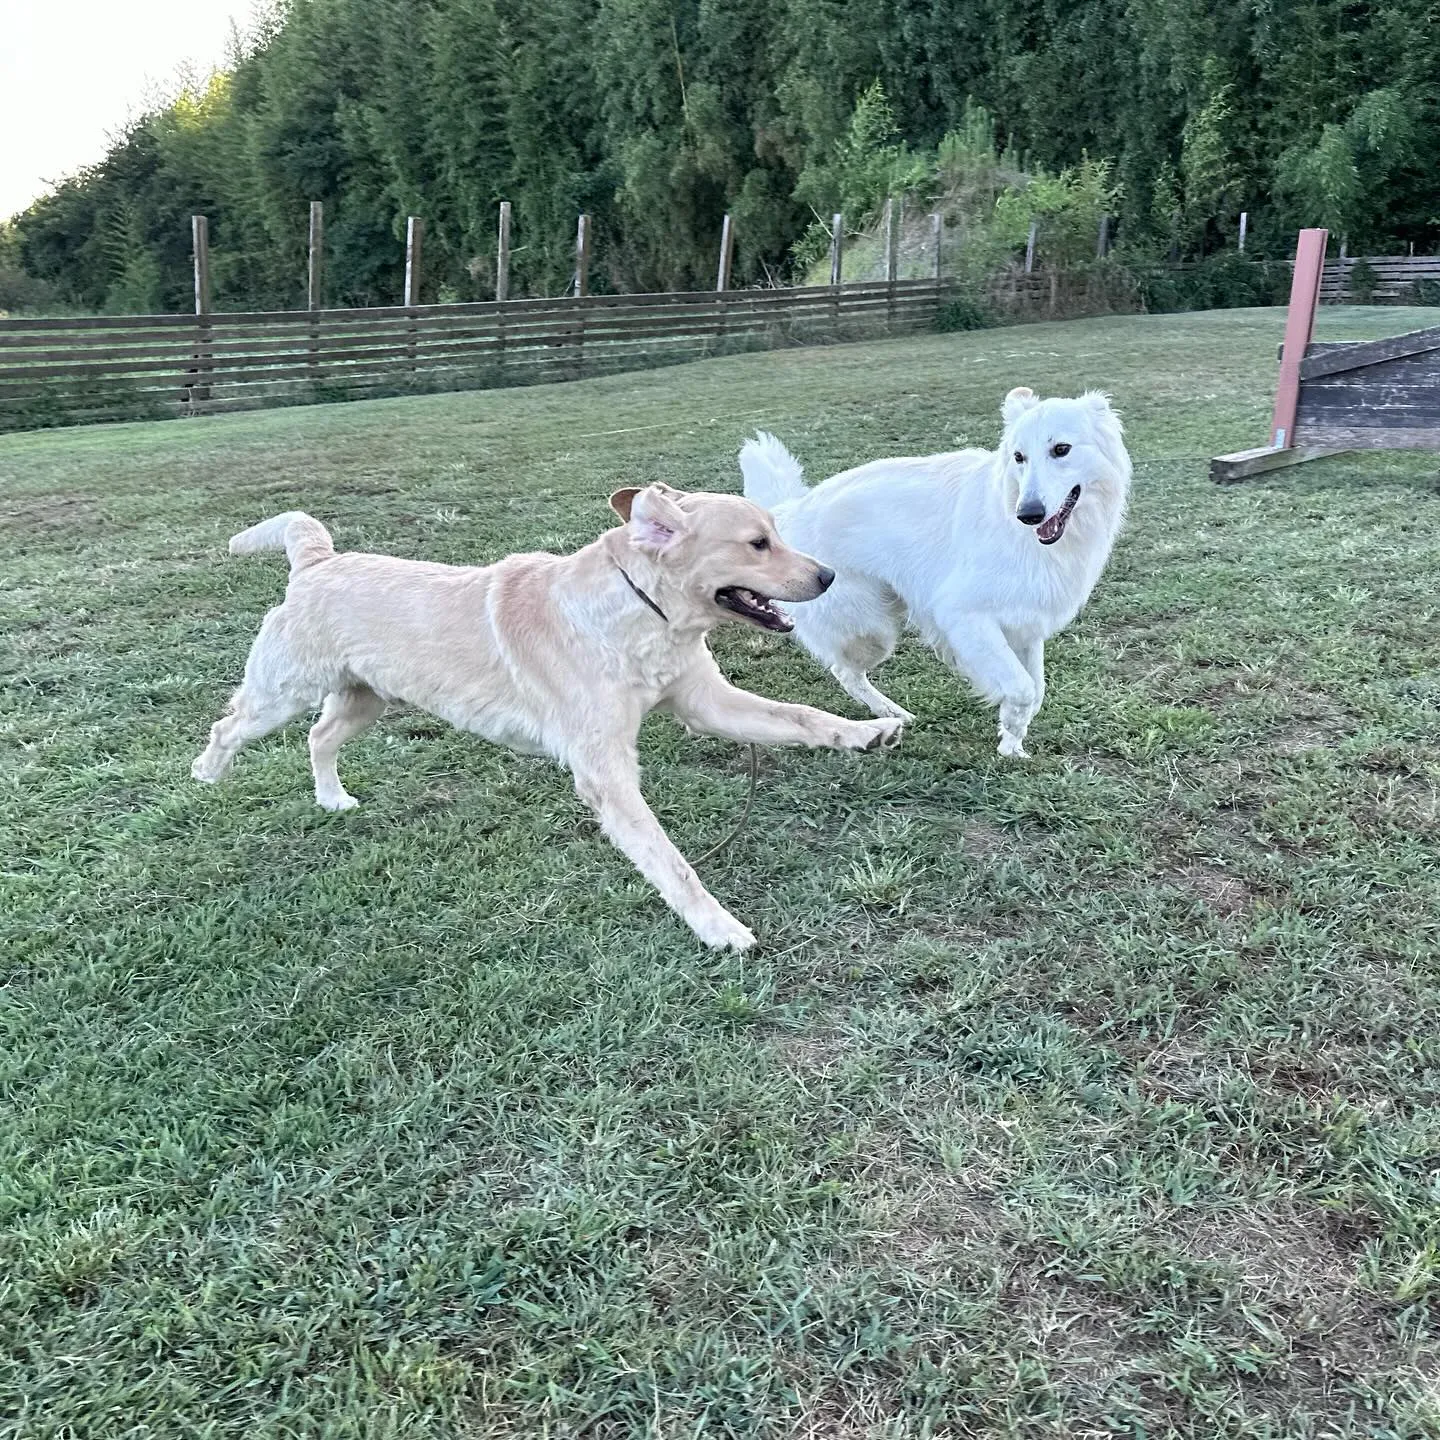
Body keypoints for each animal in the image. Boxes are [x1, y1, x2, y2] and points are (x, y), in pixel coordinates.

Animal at [191, 489, 898, 950]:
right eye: (757, 543)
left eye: (776, 534)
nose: (828, 575)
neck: (638, 614)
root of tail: (317, 560)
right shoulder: (607, 773)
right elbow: (671, 862)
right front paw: (719, 928)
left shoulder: (706, 704)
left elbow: (802, 716)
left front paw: (866, 732)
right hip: (281, 693)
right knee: (230, 726)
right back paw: (207, 774)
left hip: (366, 697)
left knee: (319, 736)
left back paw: (332, 799)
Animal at [743, 388, 1134, 760]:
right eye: (1019, 457)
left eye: (1061, 449)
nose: (1029, 514)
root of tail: (790, 510)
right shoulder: (964, 616)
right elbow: (1021, 689)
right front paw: (1010, 729)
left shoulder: (1025, 625)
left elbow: (1036, 689)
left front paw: (1013, 742)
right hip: (870, 631)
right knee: (845, 672)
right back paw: (890, 714)